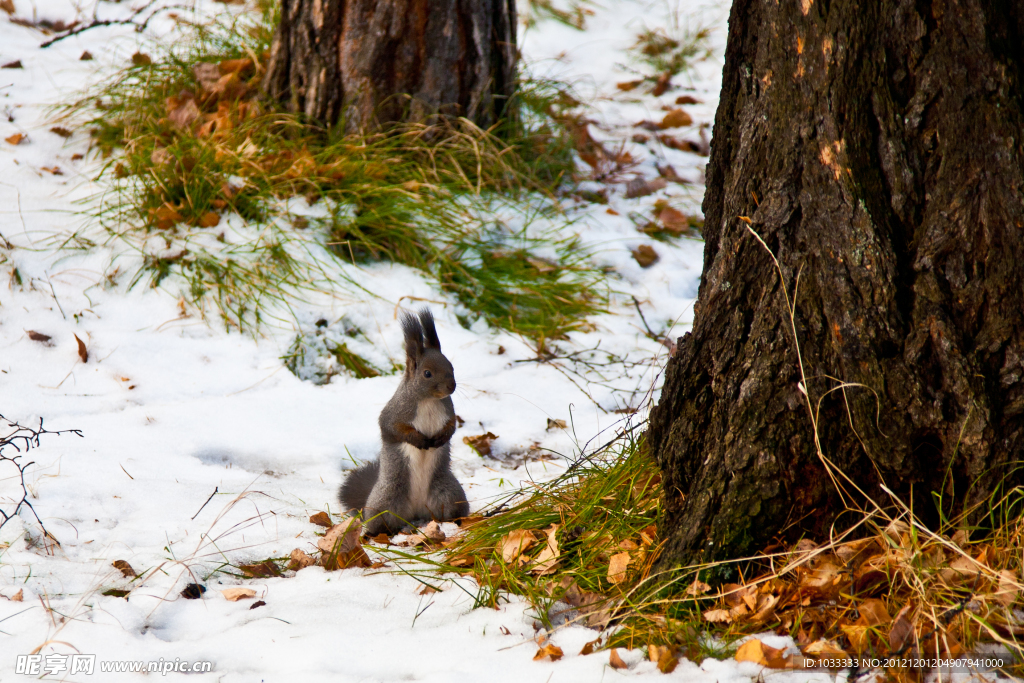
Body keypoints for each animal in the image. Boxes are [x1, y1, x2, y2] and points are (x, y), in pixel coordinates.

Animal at [339, 307, 468, 536]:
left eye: (451, 367)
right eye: (427, 373)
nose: (451, 386)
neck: (428, 400)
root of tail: (416, 512)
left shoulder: (449, 411)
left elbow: (452, 427)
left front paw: (441, 438)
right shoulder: (394, 412)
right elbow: (392, 428)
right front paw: (418, 440)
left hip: (450, 494)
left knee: (451, 510)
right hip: (385, 501)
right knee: (379, 521)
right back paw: (375, 532)